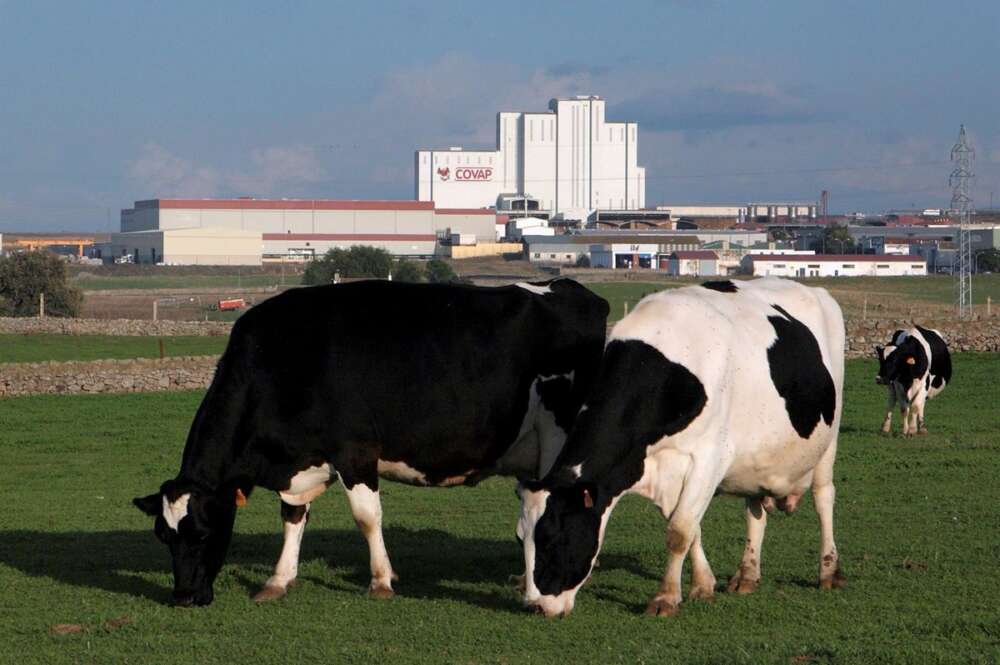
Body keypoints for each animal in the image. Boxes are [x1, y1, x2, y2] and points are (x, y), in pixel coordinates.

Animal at [133, 278, 608, 604]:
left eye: (201, 533)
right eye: (163, 536)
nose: (183, 597)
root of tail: (570, 289)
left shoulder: (355, 451)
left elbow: (366, 517)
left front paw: (381, 581)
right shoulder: (300, 461)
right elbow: (292, 517)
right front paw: (278, 579)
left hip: (557, 437)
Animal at [516, 276, 844, 616]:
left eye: (554, 538)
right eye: (519, 538)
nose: (534, 606)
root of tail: (813, 290)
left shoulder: (708, 460)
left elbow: (679, 530)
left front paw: (666, 598)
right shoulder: (662, 468)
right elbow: (691, 527)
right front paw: (703, 585)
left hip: (829, 440)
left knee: (824, 498)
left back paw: (828, 571)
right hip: (757, 459)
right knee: (754, 510)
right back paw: (747, 575)